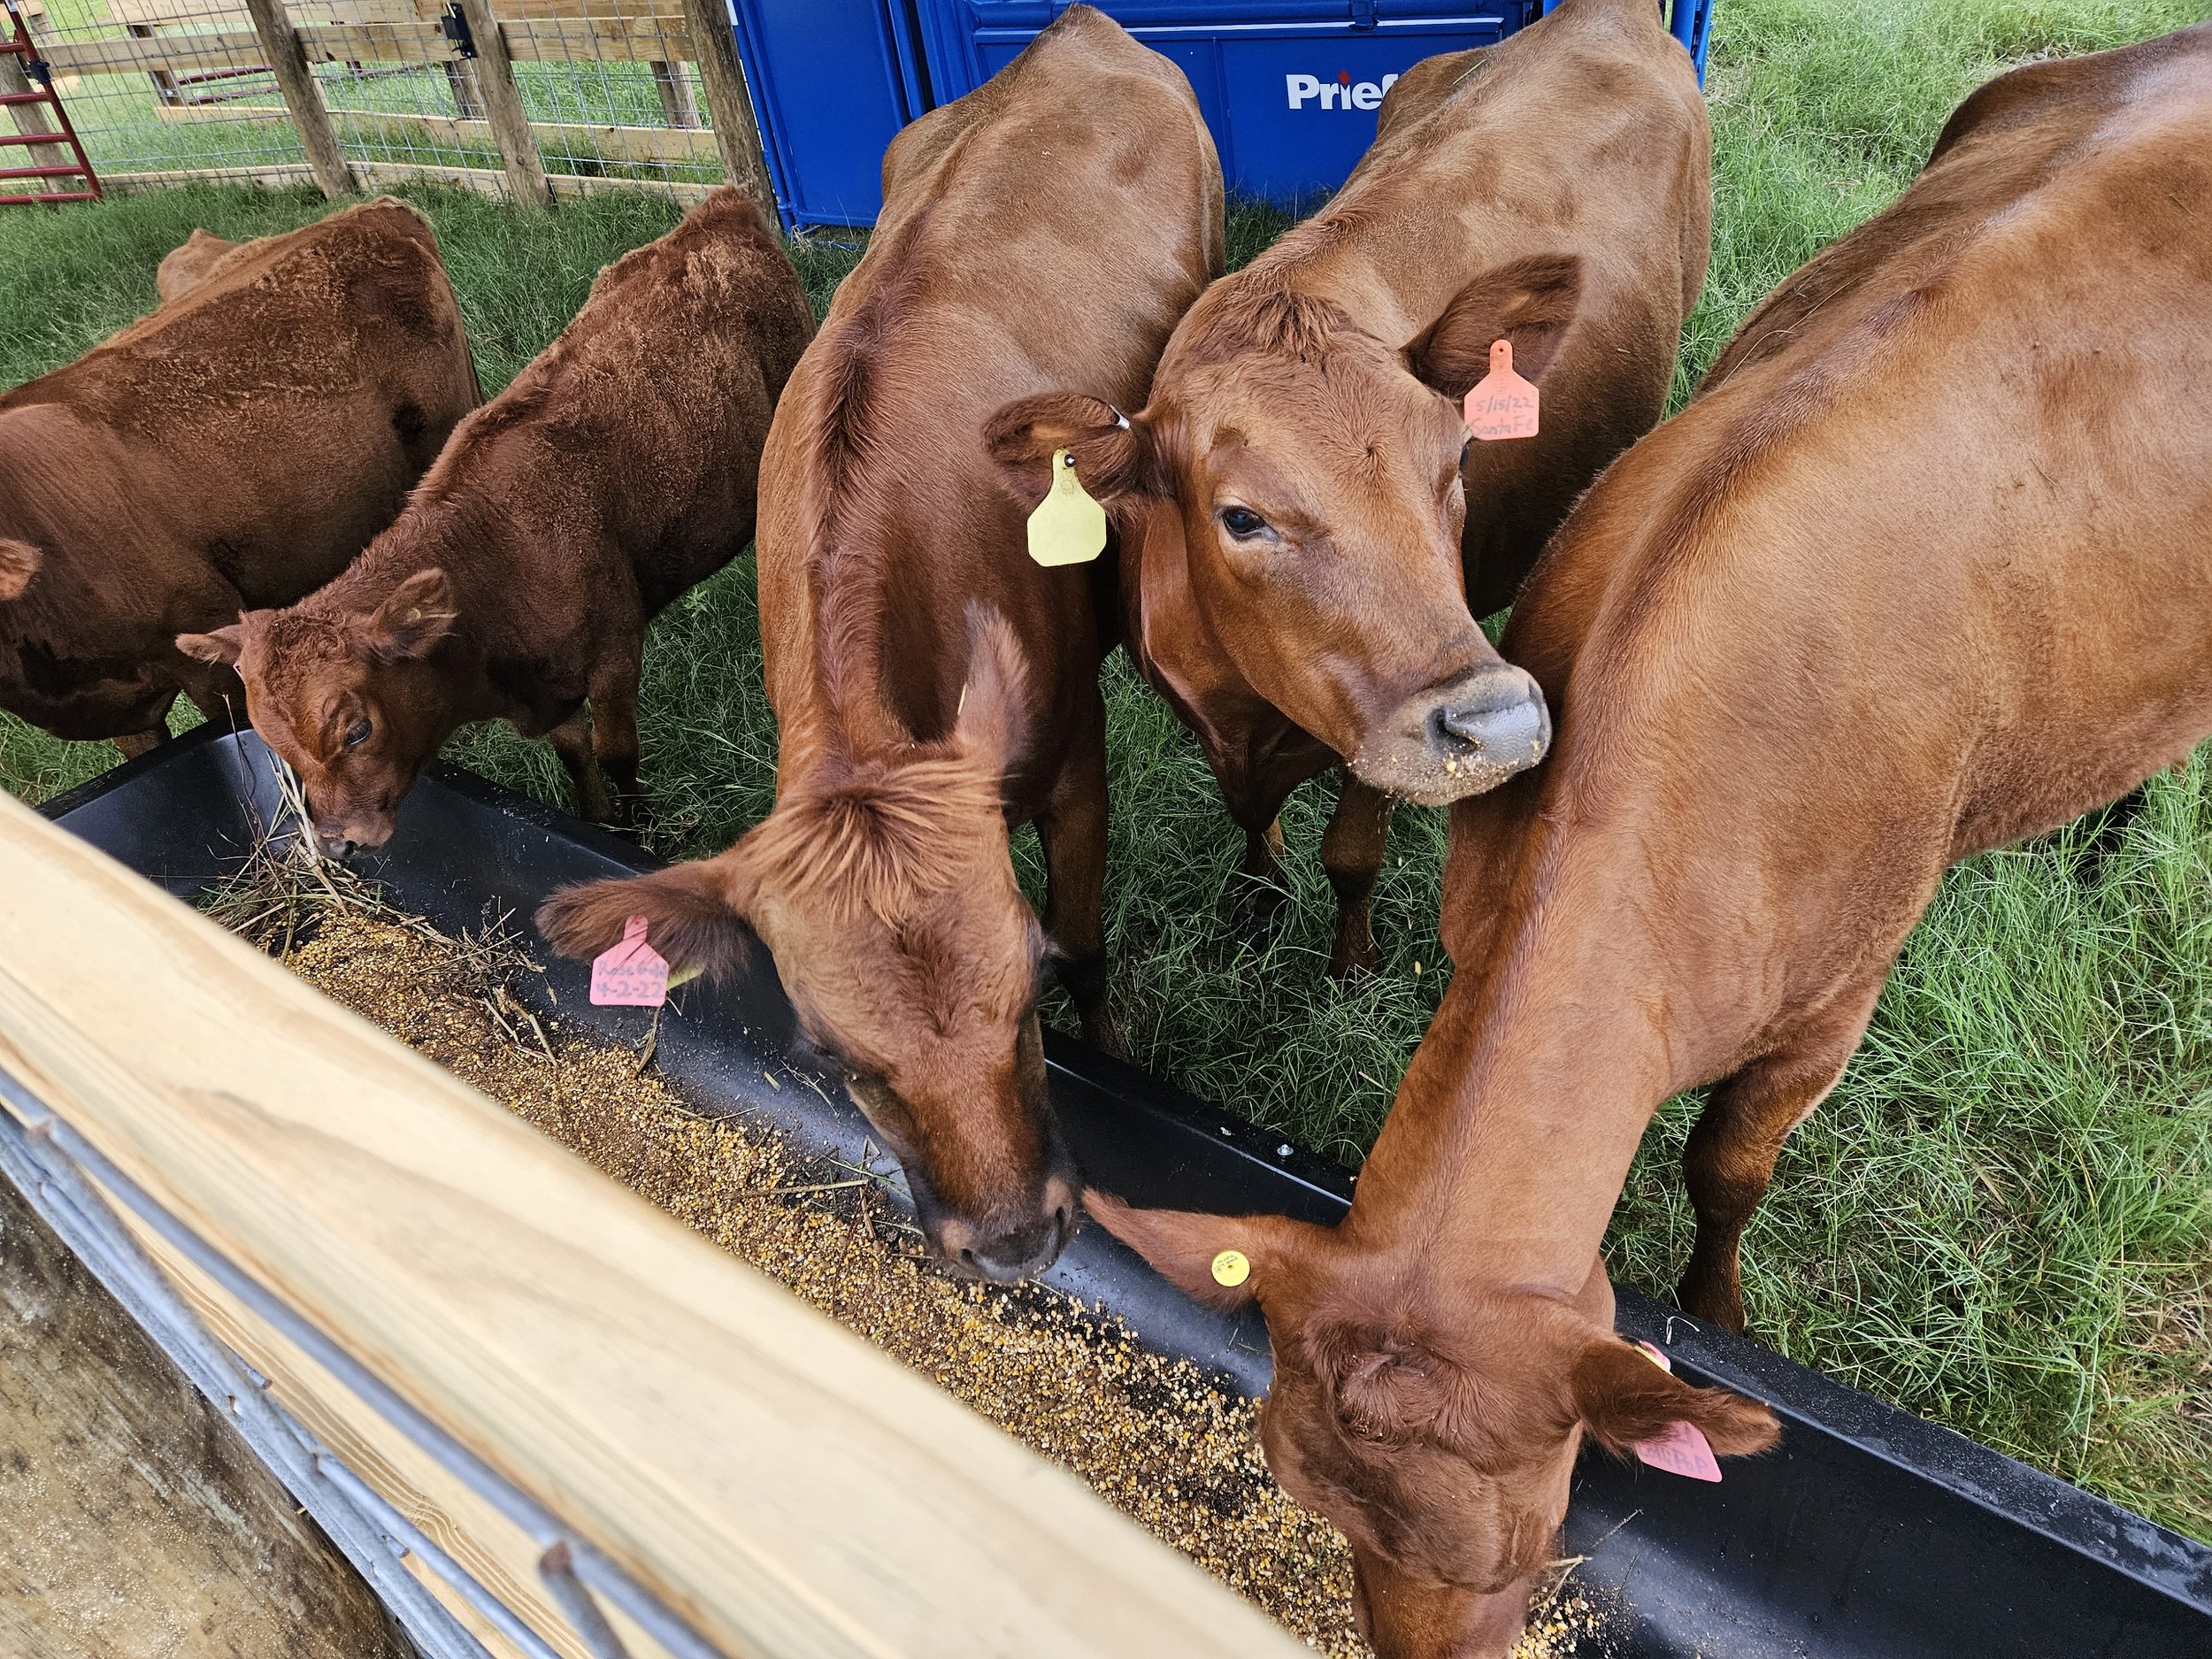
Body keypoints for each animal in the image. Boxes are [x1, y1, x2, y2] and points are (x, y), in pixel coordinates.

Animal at [178, 187, 814, 848]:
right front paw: (597, 820)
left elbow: (618, 754)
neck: (499, 556)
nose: (336, 839)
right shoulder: (548, 691)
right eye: (268, 738)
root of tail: (718, 208)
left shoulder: (616, 653)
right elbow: (575, 754)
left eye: (357, 729)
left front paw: (643, 832)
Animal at [537, 6, 1224, 1282]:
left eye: (1027, 998)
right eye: (838, 1059)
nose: (1012, 1242)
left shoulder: (1075, 759)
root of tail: (1075, 30)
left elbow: (1095, 940)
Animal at [988, 0, 1710, 973]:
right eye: (1240, 516)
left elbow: (1351, 854)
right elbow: (1251, 827)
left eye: (1459, 464)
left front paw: (1351, 965)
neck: (1243, 704)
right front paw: (1260, 898)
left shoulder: (1376, 748)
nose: (1496, 724)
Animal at [1091, 23, 2212, 1657]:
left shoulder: (1836, 994)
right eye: (1301, 1492)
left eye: (1527, 1542)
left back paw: (2103, 841)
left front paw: (1727, 1317)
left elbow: (1726, 1169)